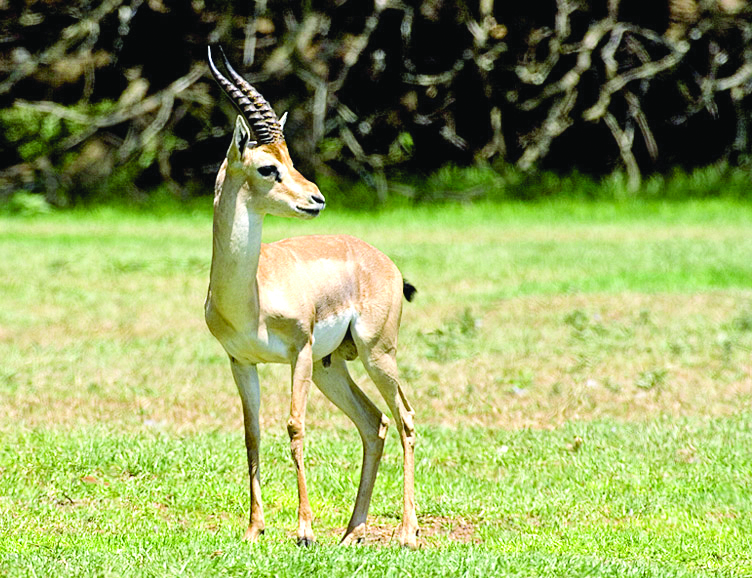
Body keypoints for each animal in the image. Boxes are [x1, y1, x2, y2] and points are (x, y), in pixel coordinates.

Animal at [203, 47, 420, 548]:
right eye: (269, 167)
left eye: (290, 158)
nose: (316, 198)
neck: (251, 295)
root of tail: (381, 259)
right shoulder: (240, 362)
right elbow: (252, 434)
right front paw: (254, 528)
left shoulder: (298, 352)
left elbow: (295, 427)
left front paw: (303, 530)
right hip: (332, 366)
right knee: (374, 423)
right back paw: (352, 533)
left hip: (376, 354)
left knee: (404, 418)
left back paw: (406, 533)